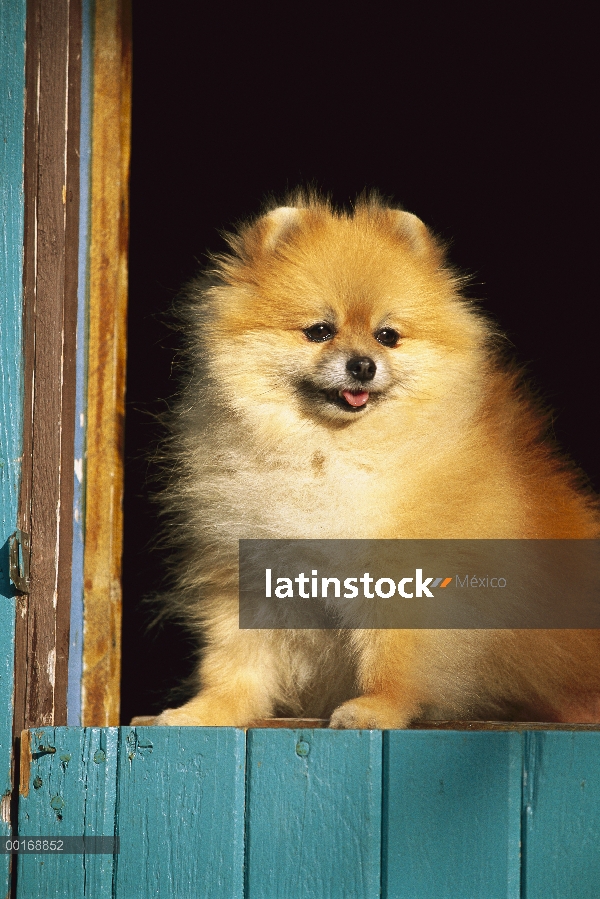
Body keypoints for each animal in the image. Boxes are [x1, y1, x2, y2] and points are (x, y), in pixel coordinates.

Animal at [156, 193, 600, 728]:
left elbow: (395, 656)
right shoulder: (248, 574)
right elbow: (234, 660)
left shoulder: (407, 576)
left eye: (387, 335)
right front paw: (206, 710)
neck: (327, 456)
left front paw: (378, 706)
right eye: (319, 331)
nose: (363, 365)